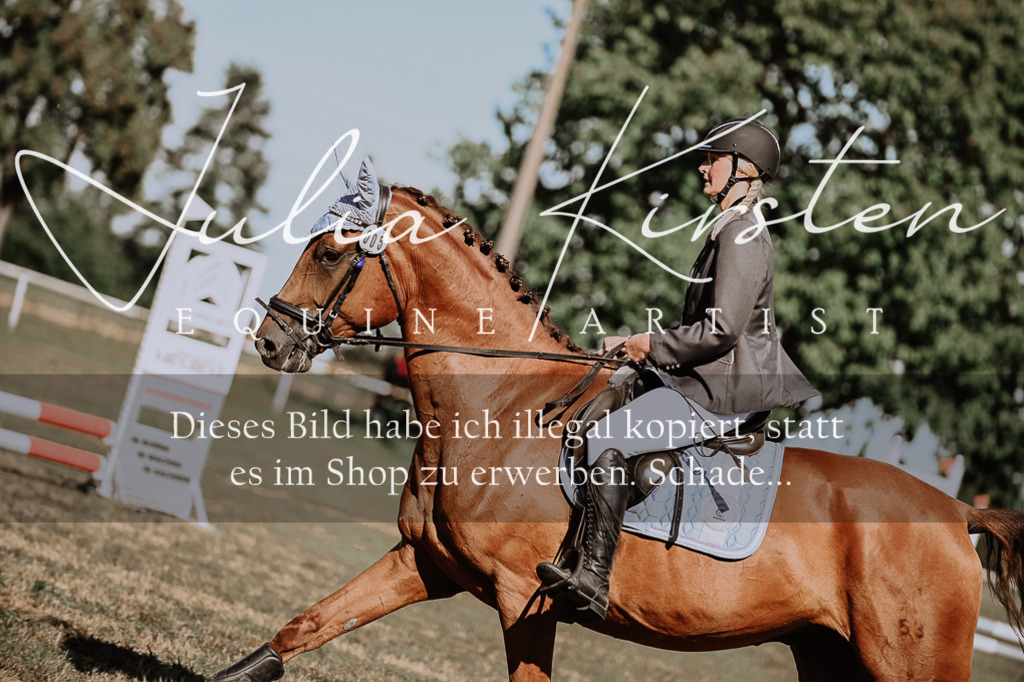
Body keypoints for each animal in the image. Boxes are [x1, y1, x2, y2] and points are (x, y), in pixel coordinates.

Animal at [214, 171, 1024, 681]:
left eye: (328, 253)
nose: (271, 343)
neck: (500, 407)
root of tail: (957, 510)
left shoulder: (522, 596)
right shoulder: (426, 564)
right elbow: (307, 625)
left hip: (910, 661)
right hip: (830, 654)